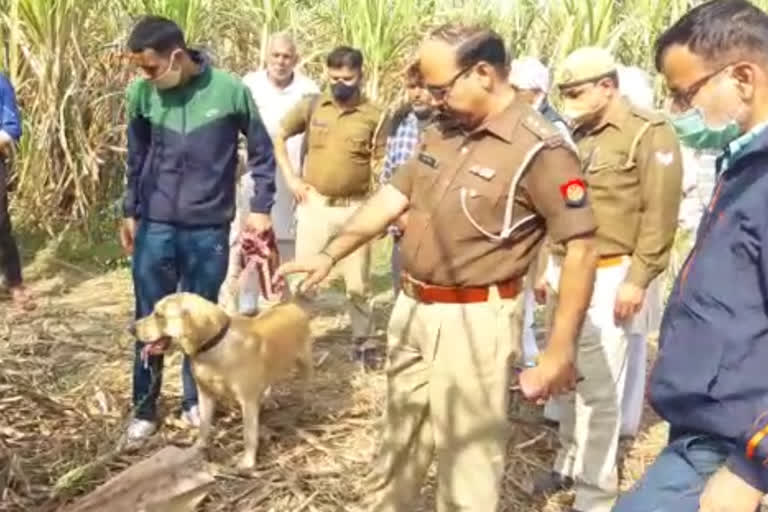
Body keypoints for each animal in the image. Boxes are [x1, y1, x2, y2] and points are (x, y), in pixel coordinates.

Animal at [134, 292, 312, 468]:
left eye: (159, 315)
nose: (131, 328)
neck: (214, 346)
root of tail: (291, 304)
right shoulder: (205, 394)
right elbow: (204, 425)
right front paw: (198, 447)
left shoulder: (248, 401)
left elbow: (249, 434)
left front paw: (248, 461)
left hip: (304, 363)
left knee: (307, 388)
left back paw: (305, 408)